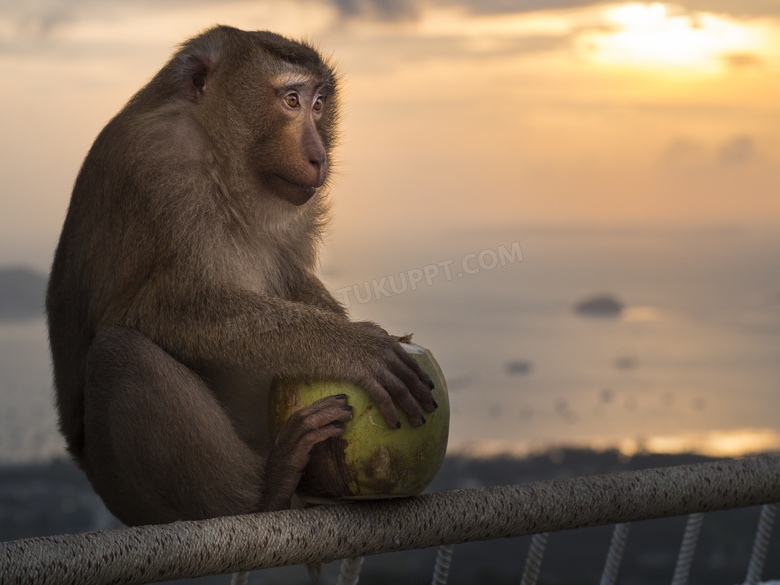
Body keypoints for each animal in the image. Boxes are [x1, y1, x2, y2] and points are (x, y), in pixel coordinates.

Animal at [45, 25, 436, 524]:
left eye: (319, 105)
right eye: (291, 100)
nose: (319, 156)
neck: (219, 159)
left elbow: (290, 275)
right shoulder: (156, 168)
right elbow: (153, 309)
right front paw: (354, 347)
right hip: (126, 490)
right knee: (120, 354)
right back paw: (265, 492)